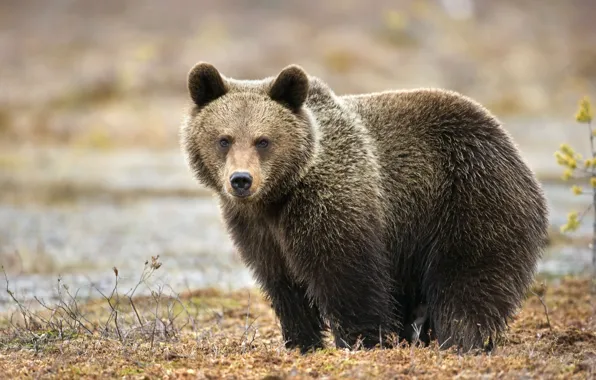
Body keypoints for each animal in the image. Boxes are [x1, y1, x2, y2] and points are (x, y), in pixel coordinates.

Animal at [180, 61, 548, 354]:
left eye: (263, 141)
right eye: (224, 139)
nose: (241, 180)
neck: (278, 197)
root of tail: (509, 143)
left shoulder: (333, 202)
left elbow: (348, 277)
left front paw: (362, 341)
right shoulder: (258, 230)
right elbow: (284, 286)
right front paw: (301, 342)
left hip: (470, 195)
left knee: (469, 278)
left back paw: (461, 340)